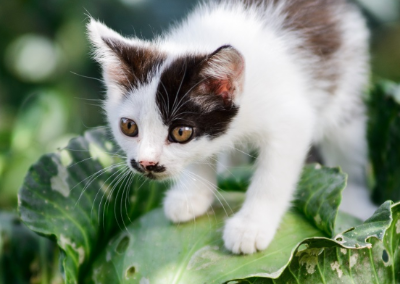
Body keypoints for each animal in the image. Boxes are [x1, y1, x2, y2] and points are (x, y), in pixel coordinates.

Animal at [88, 0, 378, 254]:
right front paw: (193, 195)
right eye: (128, 127)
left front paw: (251, 226)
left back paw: (355, 203)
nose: (146, 163)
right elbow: (202, 154)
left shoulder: (291, 119)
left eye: (181, 133)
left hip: (347, 85)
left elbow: (273, 174)